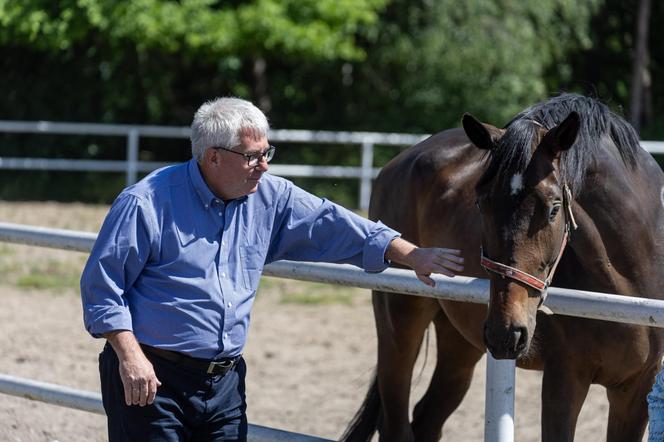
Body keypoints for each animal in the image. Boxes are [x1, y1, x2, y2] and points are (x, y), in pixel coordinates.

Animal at [342, 91, 664, 440]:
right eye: (481, 203)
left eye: (554, 208)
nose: (506, 333)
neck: (628, 288)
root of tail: (400, 161)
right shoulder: (563, 380)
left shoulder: (636, 391)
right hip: (399, 325)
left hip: (460, 341)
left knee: (428, 418)